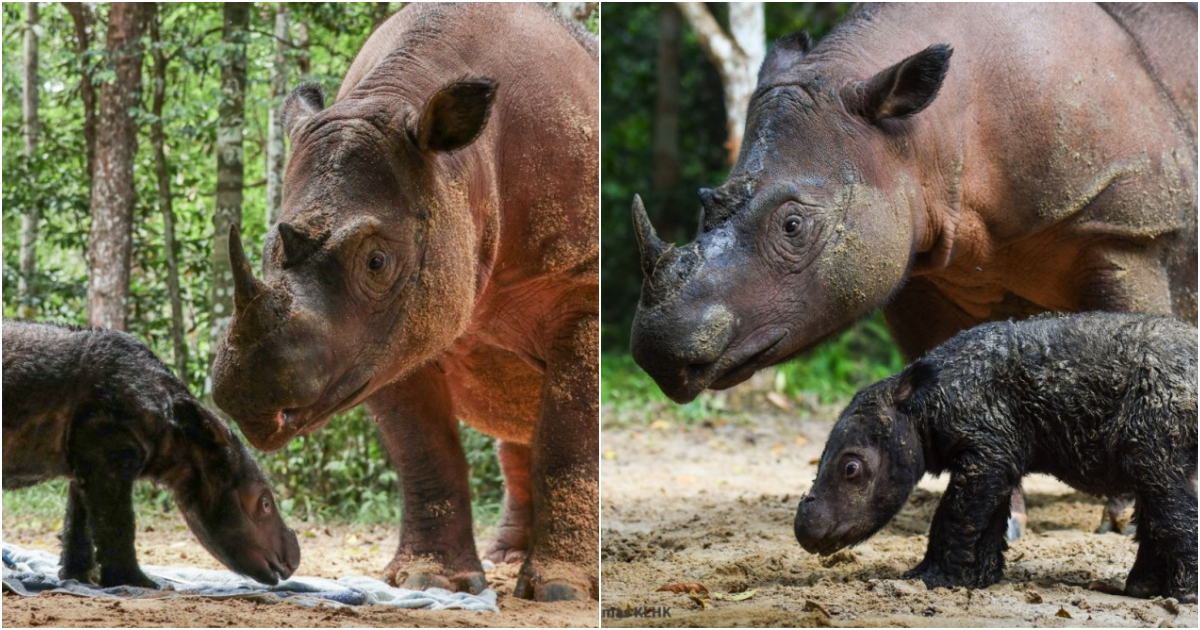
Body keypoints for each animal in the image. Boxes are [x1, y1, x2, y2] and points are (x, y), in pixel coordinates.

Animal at [2, 321, 302, 588]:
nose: (295, 558)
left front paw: (79, 578)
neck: (179, 438)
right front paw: (136, 582)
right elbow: (118, 523)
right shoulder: (109, 448)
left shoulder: (87, 456)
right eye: (265, 504)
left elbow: (79, 519)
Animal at [211, 3, 600, 600]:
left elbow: (570, 437)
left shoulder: (584, 286)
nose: (245, 391)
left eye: (376, 262)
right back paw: (506, 556)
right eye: (266, 249)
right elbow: (422, 447)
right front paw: (430, 579)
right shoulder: (389, 337)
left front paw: (561, 591)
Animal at [633, 3, 1195, 535]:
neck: (921, 138)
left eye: (792, 225)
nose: (658, 351)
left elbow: (1129, 351)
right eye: (705, 200)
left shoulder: (1125, 229)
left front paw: (1121, 519)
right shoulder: (917, 266)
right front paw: (1002, 517)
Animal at [792, 312, 1195, 602]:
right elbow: (985, 522)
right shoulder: (999, 456)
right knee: (1156, 507)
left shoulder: (986, 453)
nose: (804, 529)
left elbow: (953, 516)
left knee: (1170, 506)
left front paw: (933, 580)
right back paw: (1142, 589)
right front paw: (980, 580)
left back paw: (1180, 596)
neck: (926, 402)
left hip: (1154, 441)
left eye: (851, 468)